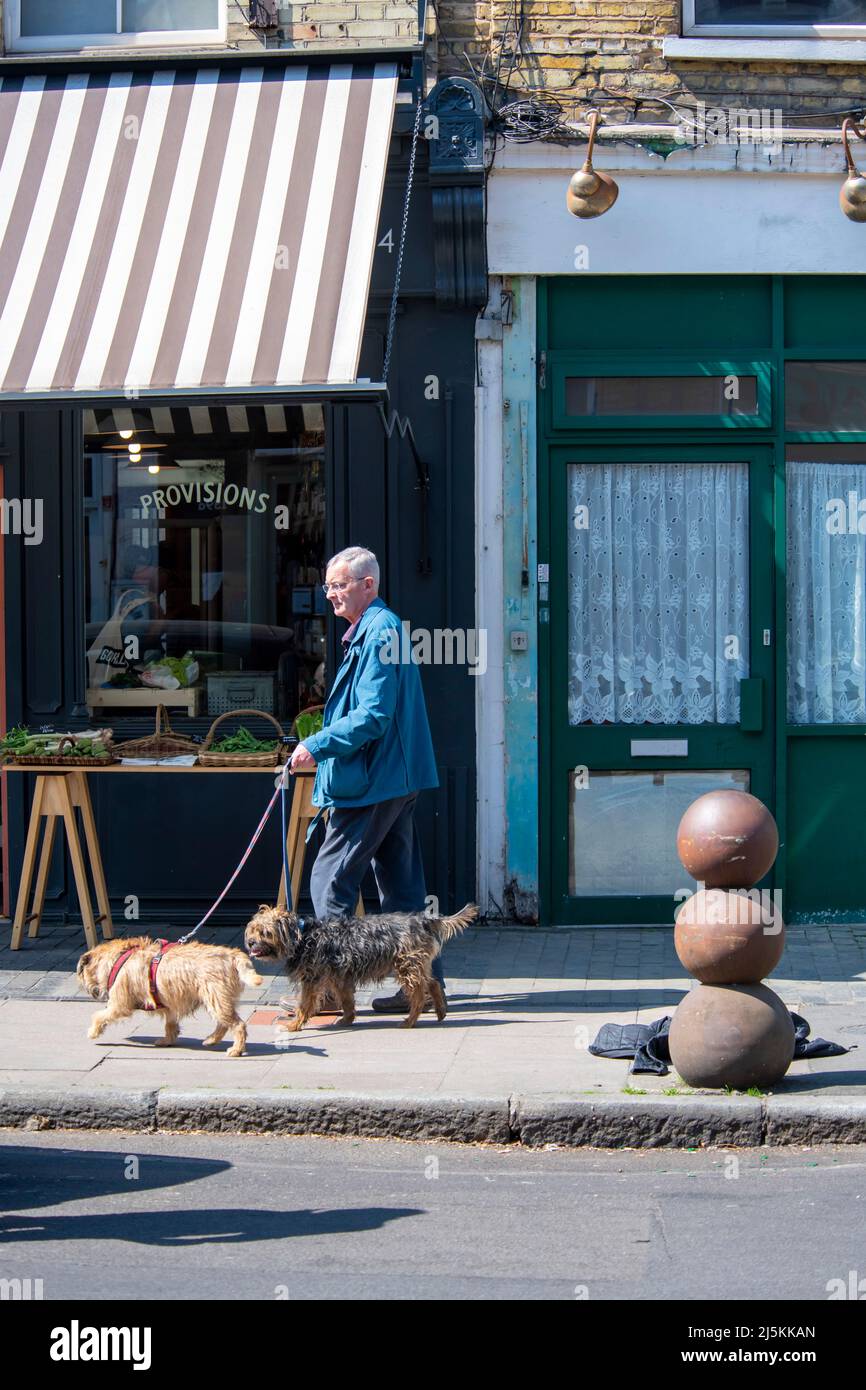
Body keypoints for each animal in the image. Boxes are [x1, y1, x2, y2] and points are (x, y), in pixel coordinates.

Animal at [77, 939, 261, 1056]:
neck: (119, 958)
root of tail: (232, 955)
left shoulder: (118, 1005)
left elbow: (99, 1015)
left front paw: (93, 1032)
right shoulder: (169, 1004)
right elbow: (170, 1024)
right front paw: (168, 1040)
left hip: (216, 998)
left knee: (238, 1025)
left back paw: (236, 1050)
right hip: (219, 1000)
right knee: (224, 1023)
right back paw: (211, 1040)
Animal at [244, 900, 478, 1034]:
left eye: (265, 932)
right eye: (253, 929)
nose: (250, 943)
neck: (302, 935)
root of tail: (423, 920)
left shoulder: (312, 979)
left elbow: (304, 1005)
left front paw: (294, 1025)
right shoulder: (340, 978)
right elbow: (347, 1000)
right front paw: (347, 1020)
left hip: (407, 966)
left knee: (420, 995)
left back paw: (410, 1021)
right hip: (416, 965)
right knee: (433, 983)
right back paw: (440, 1012)